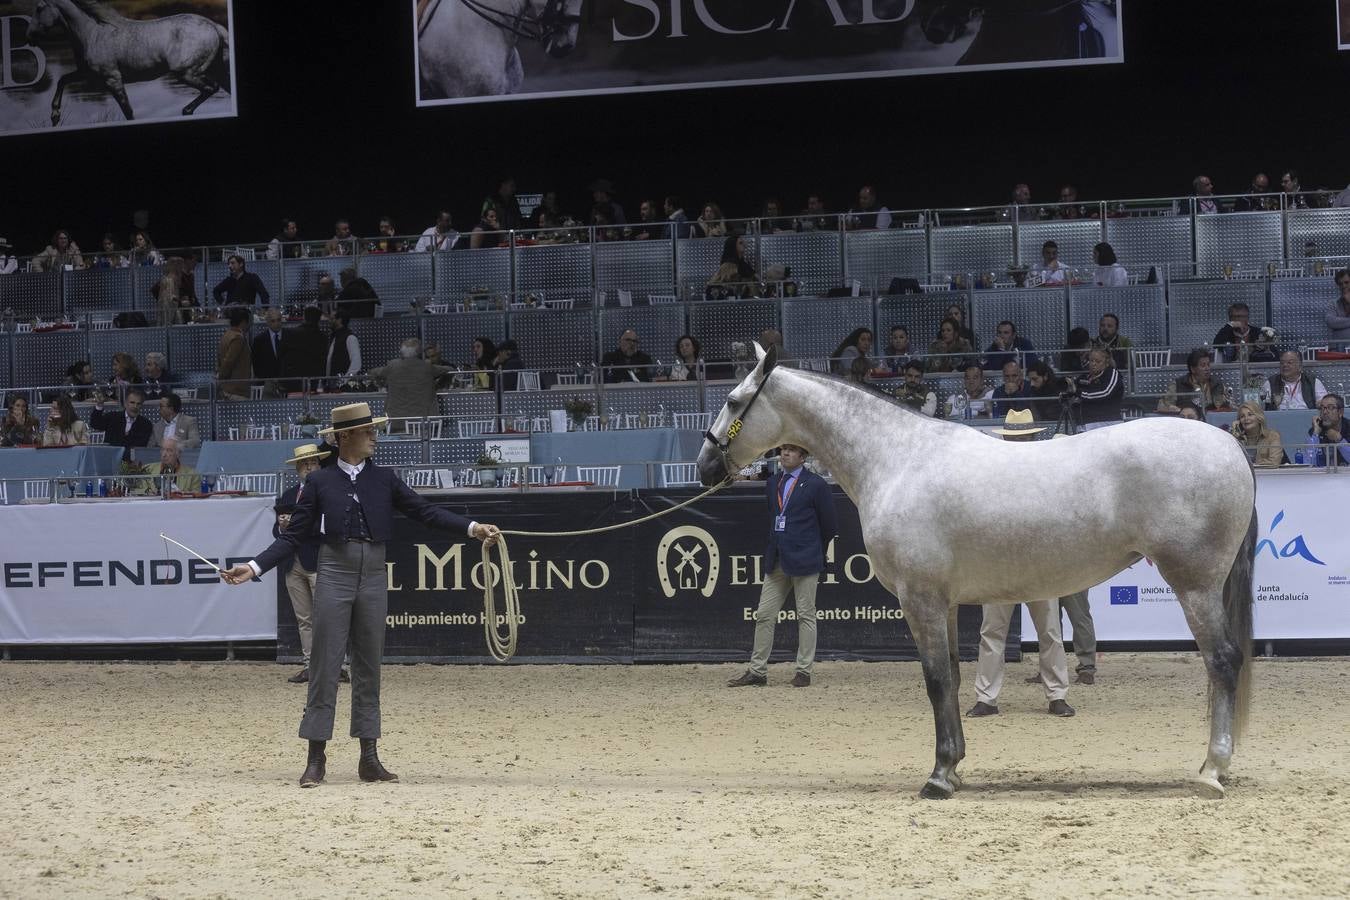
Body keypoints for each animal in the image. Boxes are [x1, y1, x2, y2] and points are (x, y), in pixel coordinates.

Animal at [27, 0, 230, 126]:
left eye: (39, 8)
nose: (30, 37)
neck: (92, 34)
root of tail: (214, 26)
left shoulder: (112, 79)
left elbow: (128, 112)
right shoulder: (86, 74)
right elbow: (62, 80)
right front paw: (55, 116)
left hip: (187, 73)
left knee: (211, 88)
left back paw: (186, 110)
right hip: (212, 70)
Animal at [698, 344, 1256, 800]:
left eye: (733, 401)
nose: (704, 466)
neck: (898, 459)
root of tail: (1231, 447)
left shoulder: (919, 599)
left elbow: (935, 681)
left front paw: (939, 777)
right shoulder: (943, 604)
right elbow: (954, 675)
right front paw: (955, 767)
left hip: (1195, 585)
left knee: (1223, 661)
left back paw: (1212, 771)